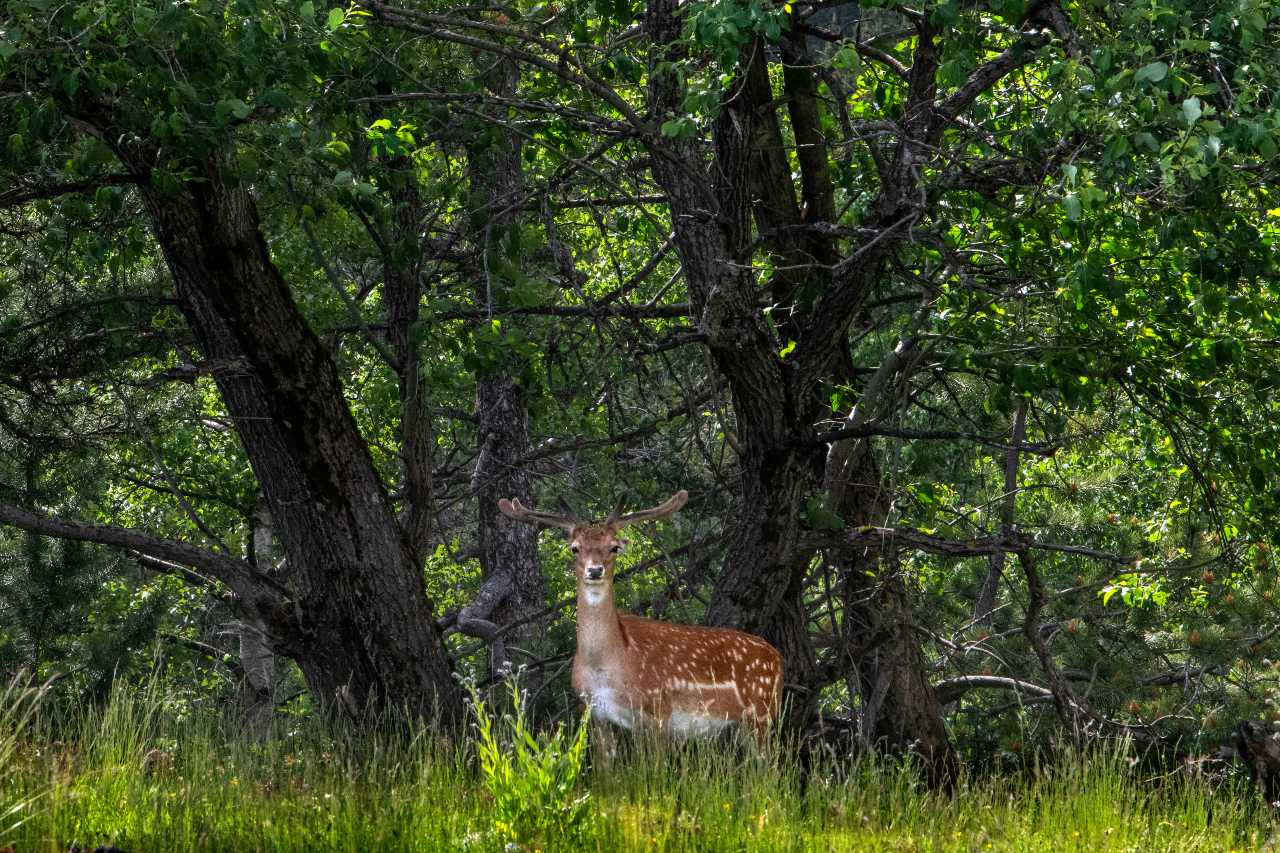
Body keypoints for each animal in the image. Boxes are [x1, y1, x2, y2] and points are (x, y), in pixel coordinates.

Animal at [496, 489, 778, 742]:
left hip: (762, 713)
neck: (608, 664)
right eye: (575, 548)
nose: (595, 570)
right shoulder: (594, 712)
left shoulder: (659, 710)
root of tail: (778, 657)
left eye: (614, 548)